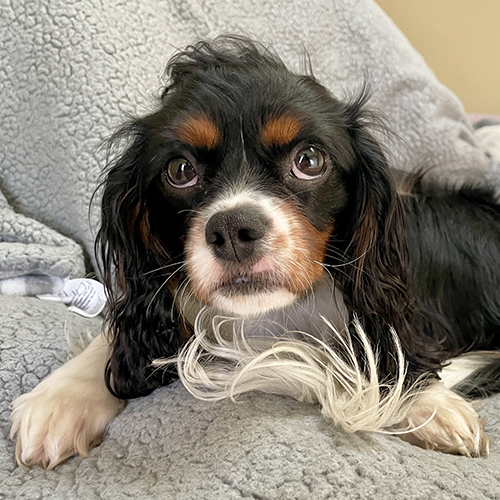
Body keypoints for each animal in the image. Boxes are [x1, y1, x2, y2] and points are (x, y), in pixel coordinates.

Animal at [11, 37, 500, 469]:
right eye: (180, 170)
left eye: (309, 160)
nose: (233, 229)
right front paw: (63, 396)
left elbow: (392, 347)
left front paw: (428, 401)